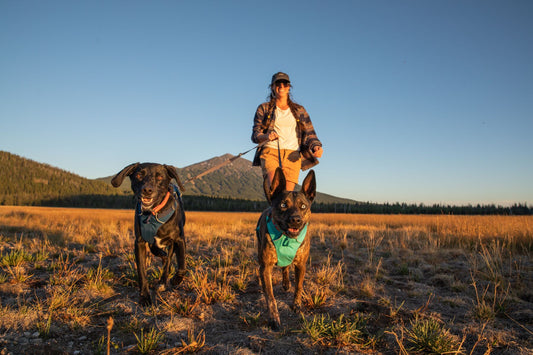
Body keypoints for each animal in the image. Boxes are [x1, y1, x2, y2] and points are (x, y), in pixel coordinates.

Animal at [111, 164, 186, 306]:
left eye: (160, 177)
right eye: (139, 175)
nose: (147, 190)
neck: (153, 213)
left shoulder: (179, 240)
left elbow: (182, 265)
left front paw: (176, 280)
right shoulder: (139, 242)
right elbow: (142, 272)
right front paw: (145, 297)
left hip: (172, 244)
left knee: (168, 261)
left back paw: (163, 281)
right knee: (161, 254)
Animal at [255, 168, 314, 330]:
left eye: (303, 206)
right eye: (283, 205)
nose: (295, 220)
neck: (286, 237)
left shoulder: (301, 265)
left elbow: (298, 286)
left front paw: (296, 305)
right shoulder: (265, 268)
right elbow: (270, 297)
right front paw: (274, 318)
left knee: (285, 268)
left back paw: (286, 283)